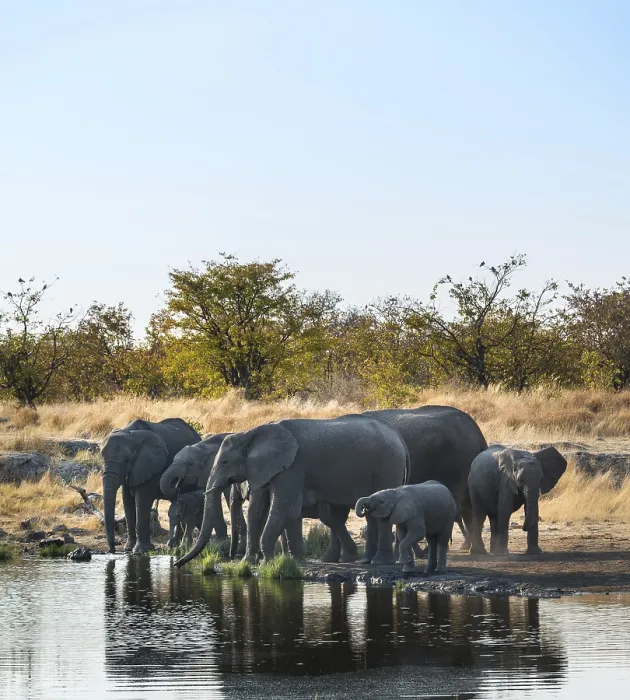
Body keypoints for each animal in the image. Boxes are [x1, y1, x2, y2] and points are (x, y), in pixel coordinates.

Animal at [101, 418, 201, 554]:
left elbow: (142, 500)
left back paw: (176, 546)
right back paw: (175, 545)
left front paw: (141, 551)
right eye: (102, 457)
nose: (112, 550)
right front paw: (129, 548)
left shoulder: (151, 465)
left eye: (127, 460)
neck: (130, 433)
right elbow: (127, 501)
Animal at [174, 414, 409, 568]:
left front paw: (267, 563)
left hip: (387, 466)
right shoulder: (268, 468)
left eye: (224, 462)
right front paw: (254, 563)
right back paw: (365, 560)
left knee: (379, 515)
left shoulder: (293, 466)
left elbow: (281, 508)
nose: (176, 564)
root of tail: (400, 438)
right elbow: (261, 510)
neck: (252, 432)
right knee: (366, 514)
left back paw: (379, 562)